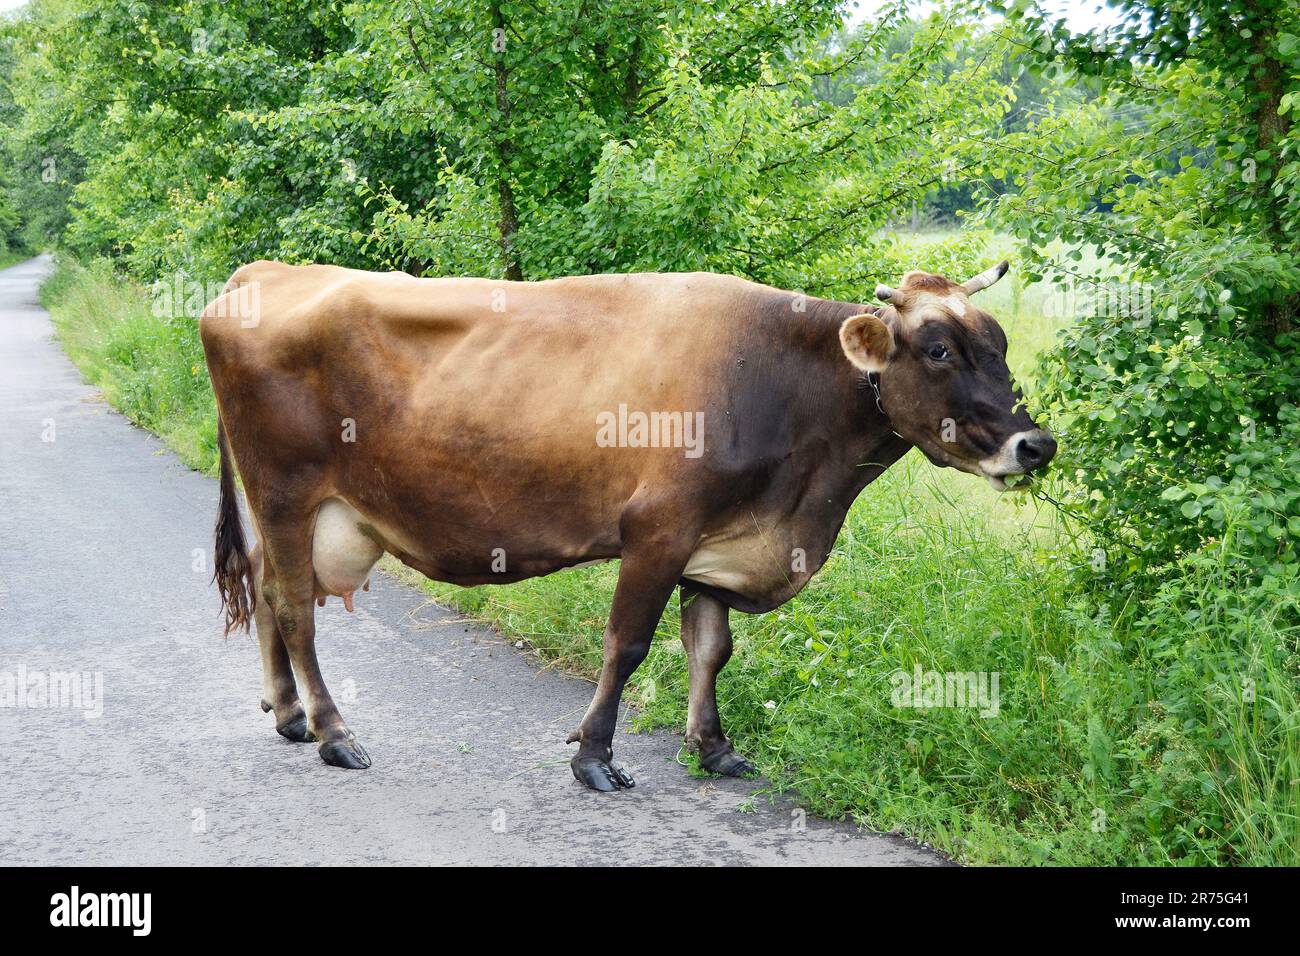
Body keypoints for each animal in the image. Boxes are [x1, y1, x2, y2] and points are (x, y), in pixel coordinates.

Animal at [202, 257, 1055, 790]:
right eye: (940, 349)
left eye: (1001, 343)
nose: (1036, 444)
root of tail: (266, 271)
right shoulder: (659, 530)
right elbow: (629, 645)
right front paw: (594, 757)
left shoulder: (717, 542)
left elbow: (711, 649)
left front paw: (713, 749)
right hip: (285, 491)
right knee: (295, 607)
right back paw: (335, 732)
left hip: (293, 511)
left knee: (273, 590)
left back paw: (291, 716)